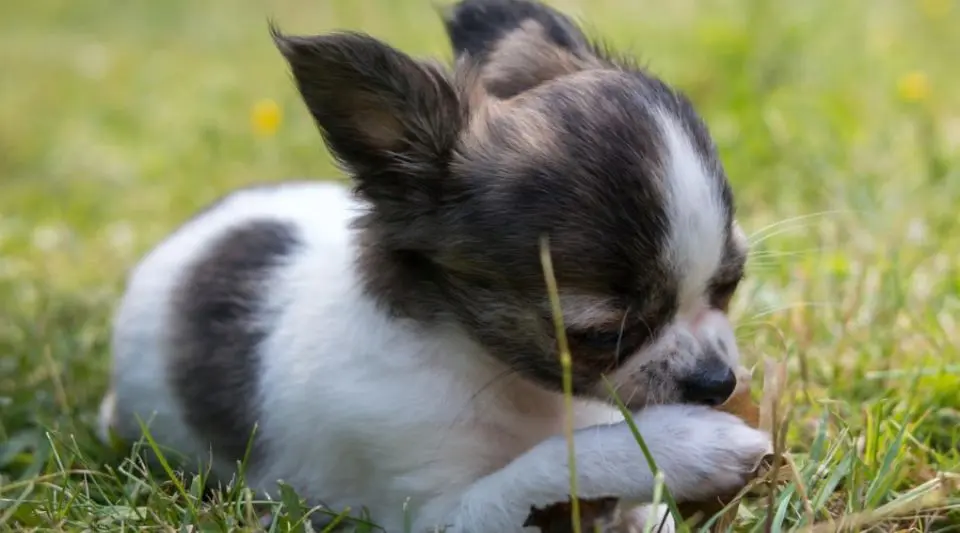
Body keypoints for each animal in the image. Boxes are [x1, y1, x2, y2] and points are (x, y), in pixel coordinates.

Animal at [97, 0, 772, 528]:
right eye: (604, 335)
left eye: (730, 285)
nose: (718, 383)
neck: (512, 385)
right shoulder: (438, 513)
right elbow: (556, 459)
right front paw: (687, 446)